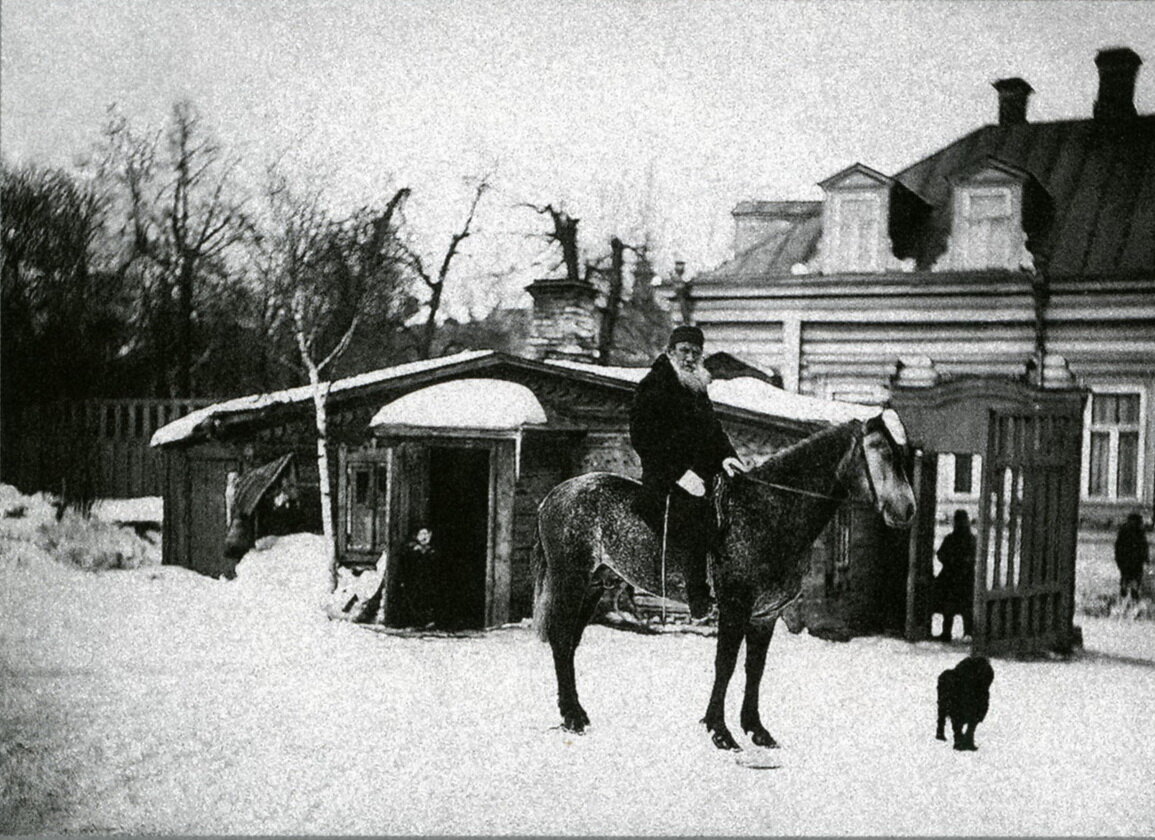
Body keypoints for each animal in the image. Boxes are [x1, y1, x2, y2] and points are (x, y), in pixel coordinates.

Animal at [531, 411, 919, 753]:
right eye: (881, 451)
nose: (908, 511)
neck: (769, 512)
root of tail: (554, 495)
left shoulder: (765, 615)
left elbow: (754, 669)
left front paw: (756, 729)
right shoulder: (735, 608)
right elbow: (726, 666)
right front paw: (720, 731)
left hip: (595, 585)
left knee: (569, 642)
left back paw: (575, 713)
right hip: (571, 580)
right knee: (562, 639)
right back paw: (572, 717)